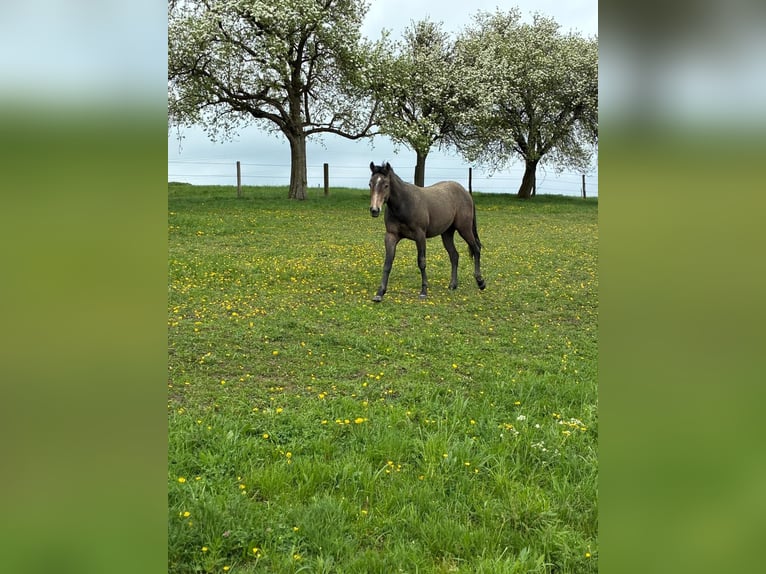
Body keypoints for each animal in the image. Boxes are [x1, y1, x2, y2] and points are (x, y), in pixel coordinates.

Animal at [368, 161, 486, 302]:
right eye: (370, 184)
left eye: (386, 185)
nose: (374, 210)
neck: (404, 204)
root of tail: (466, 193)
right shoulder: (391, 236)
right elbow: (387, 263)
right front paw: (380, 293)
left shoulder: (420, 236)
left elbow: (421, 262)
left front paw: (423, 291)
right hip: (447, 233)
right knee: (454, 256)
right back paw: (453, 285)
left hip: (464, 228)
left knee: (476, 249)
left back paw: (480, 282)